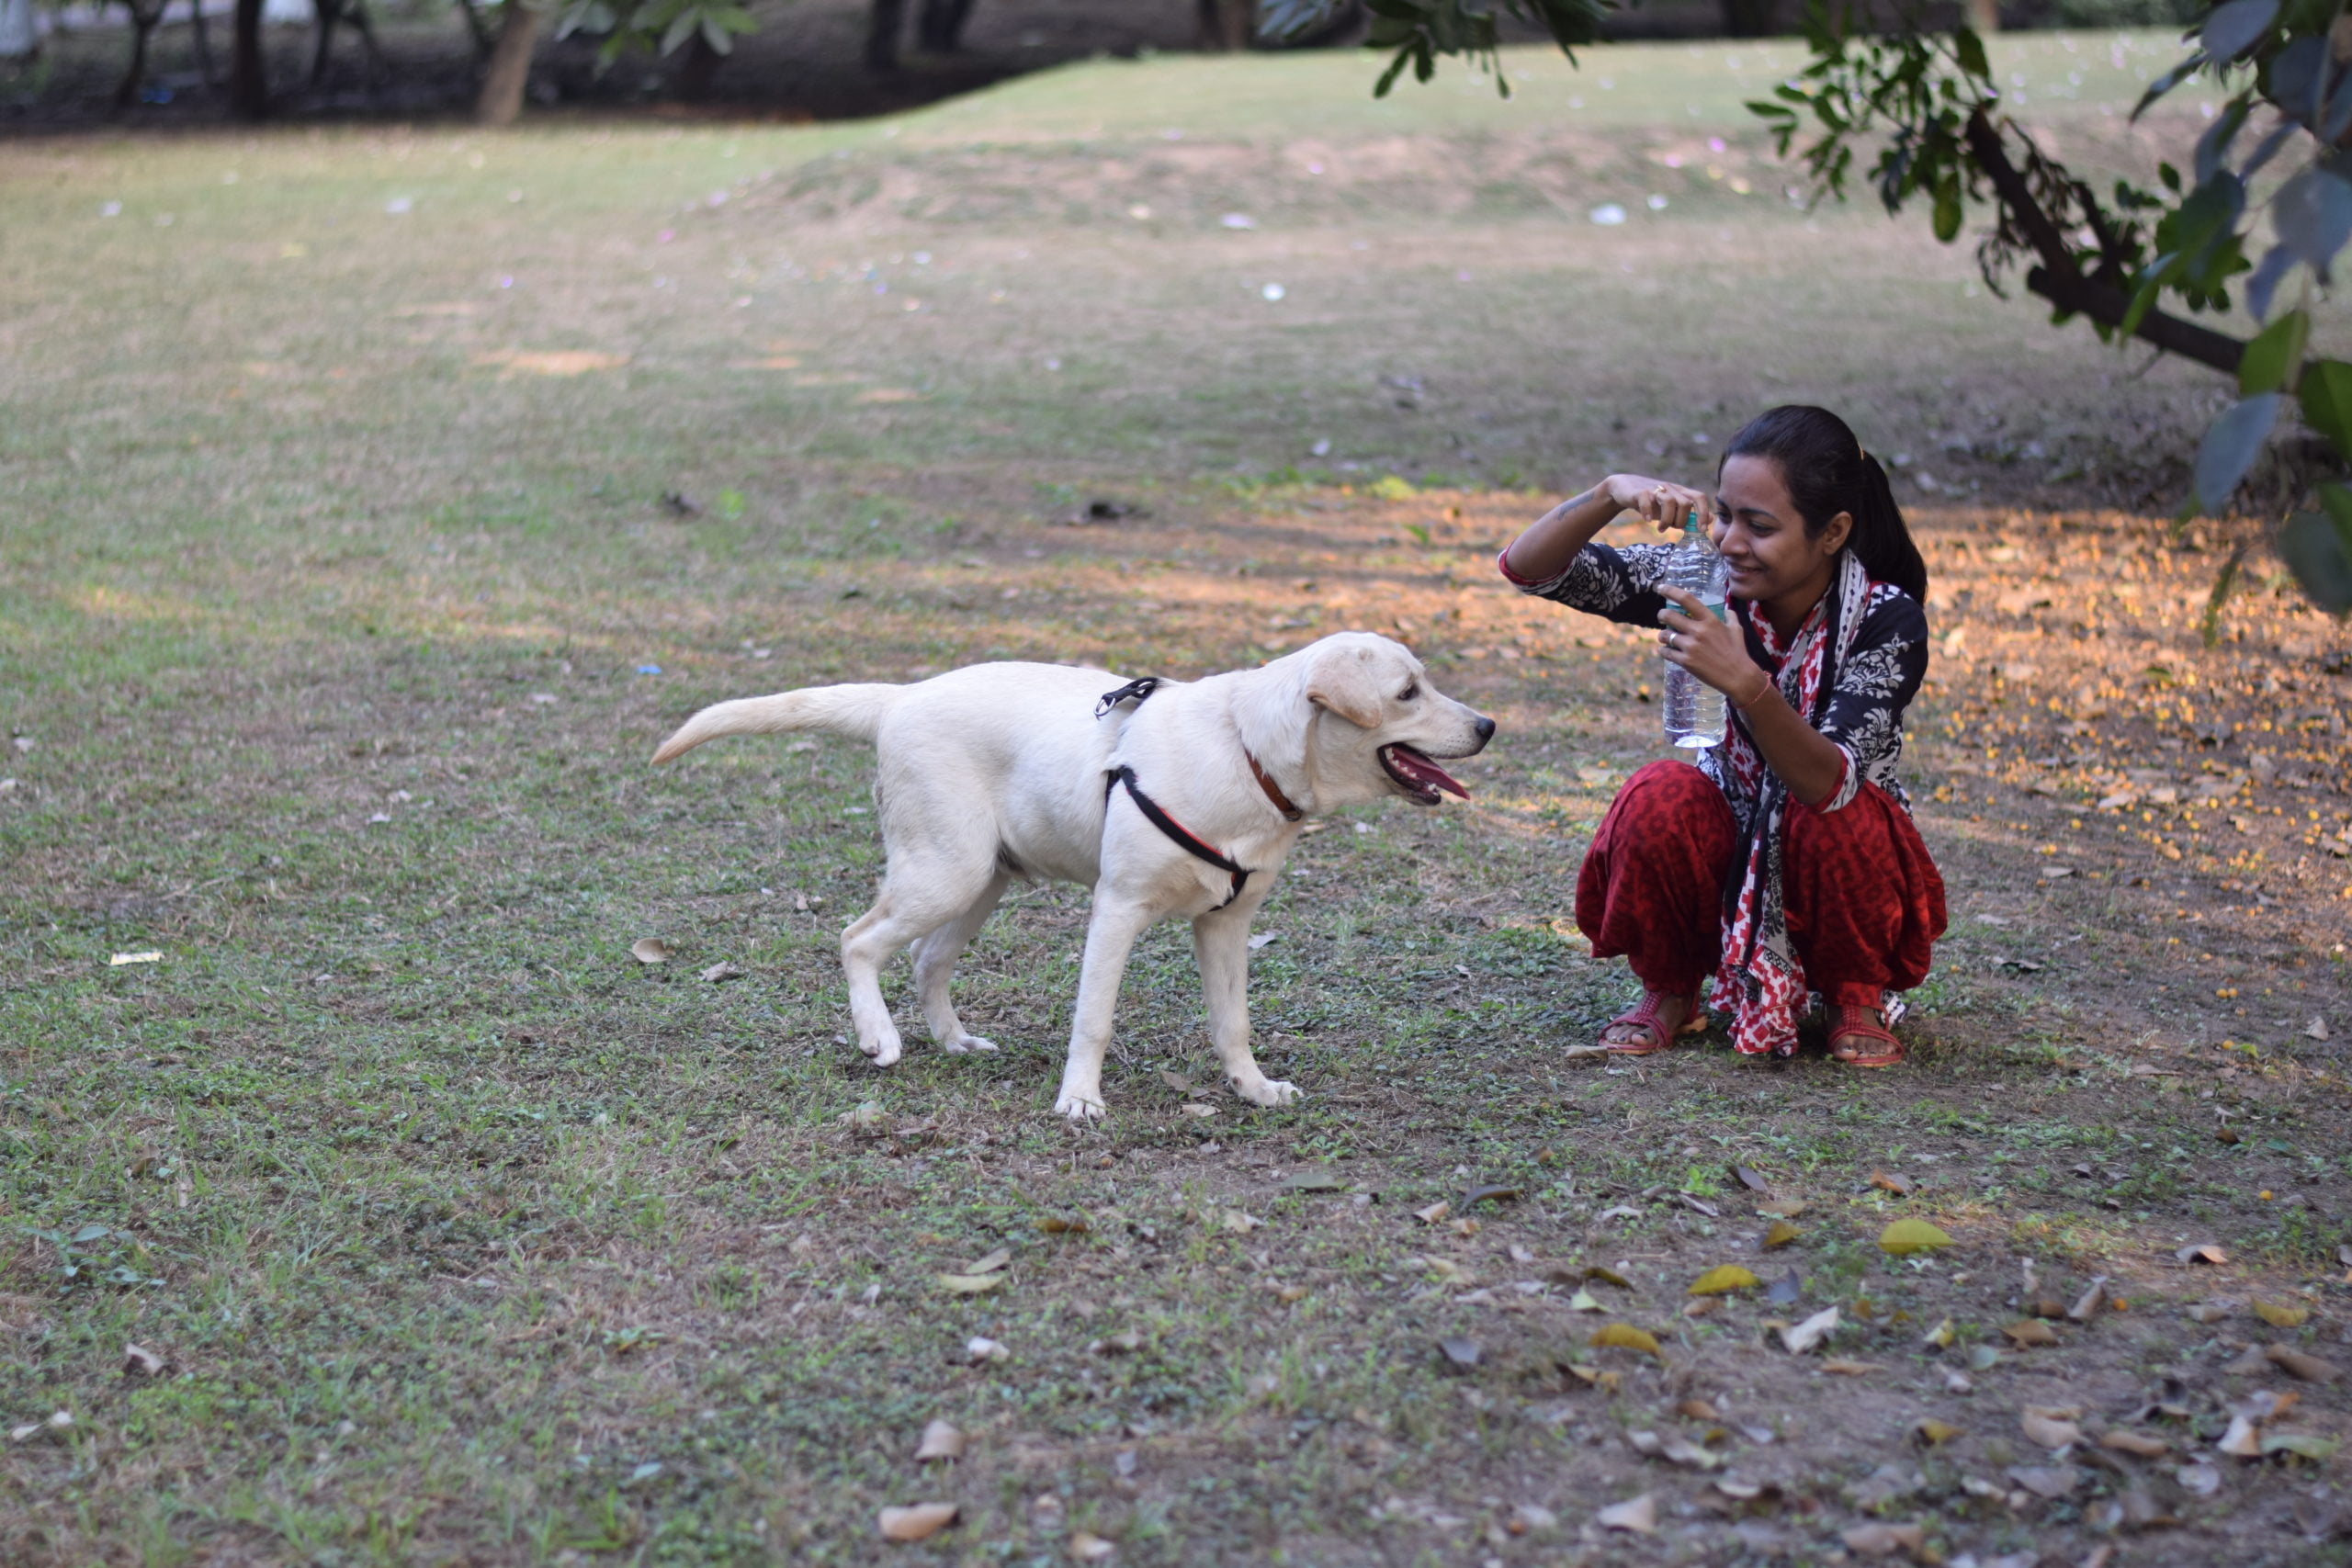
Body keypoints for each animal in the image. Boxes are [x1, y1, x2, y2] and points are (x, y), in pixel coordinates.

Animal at [649, 629, 1486, 1123]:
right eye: (1407, 692)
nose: (1488, 725)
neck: (1245, 748)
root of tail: (901, 697)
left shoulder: (1225, 923)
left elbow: (1233, 1021)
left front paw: (1251, 1087)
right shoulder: (1117, 909)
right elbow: (1095, 1018)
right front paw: (1079, 1098)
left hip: (981, 880)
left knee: (924, 959)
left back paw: (953, 1040)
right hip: (945, 870)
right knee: (858, 939)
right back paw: (878, 1035)